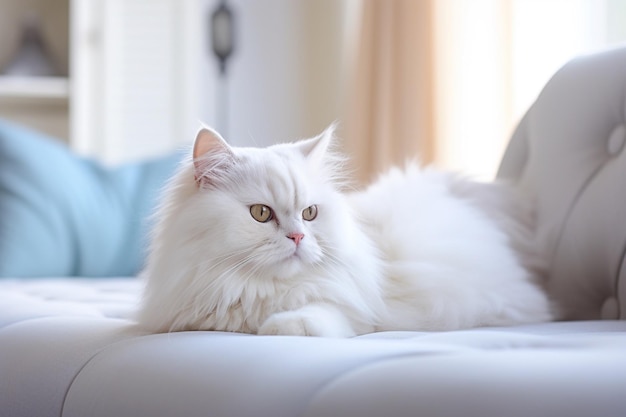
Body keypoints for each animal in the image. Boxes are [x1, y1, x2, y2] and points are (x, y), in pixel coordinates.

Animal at [138, 125, 552, 336]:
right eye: (260, 213)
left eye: (309, 213)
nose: (297, 237)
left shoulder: (355, 307)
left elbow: (319, 311)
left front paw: (281, 326)